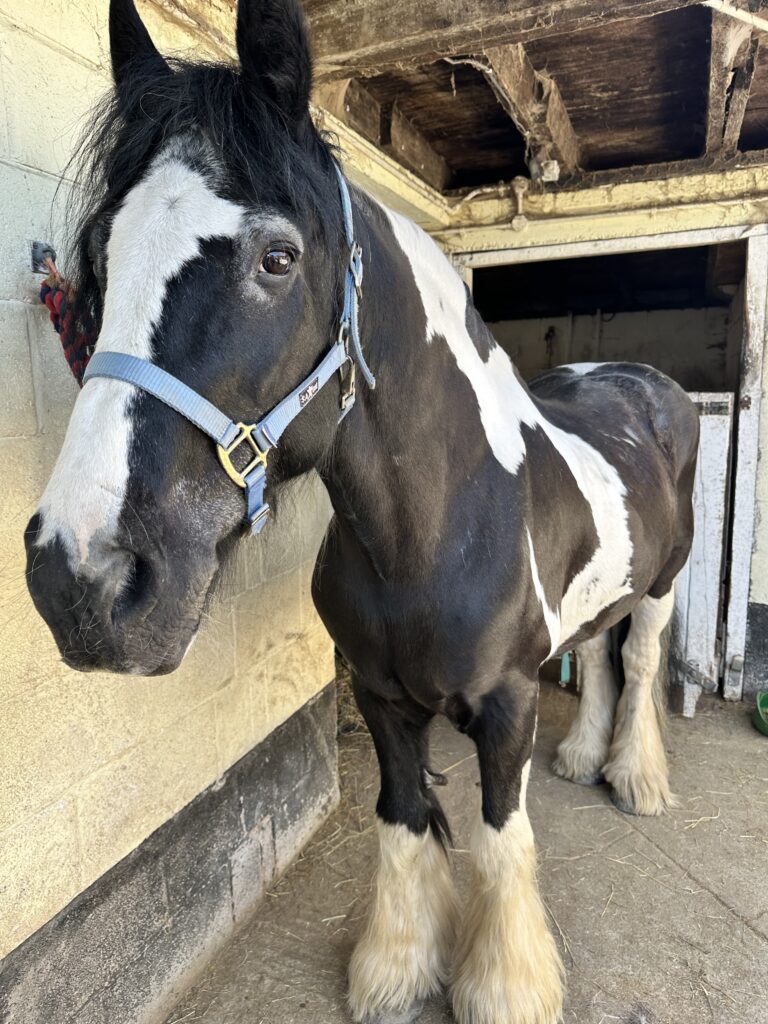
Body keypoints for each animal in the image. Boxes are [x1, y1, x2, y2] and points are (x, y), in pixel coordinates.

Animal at [24, 1, 699, 1022]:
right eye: (103, 253)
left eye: (278, 257)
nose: (80, 579)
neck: (431, 535)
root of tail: (637, 380)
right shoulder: (381, 699)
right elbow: (404, 820)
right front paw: (393, 971)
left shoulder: (505, 708)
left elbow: (501, 838)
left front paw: (503, 989)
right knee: (593, 652)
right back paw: (586, 759)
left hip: (662, 585)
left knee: (643, 656)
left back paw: (635, 781)